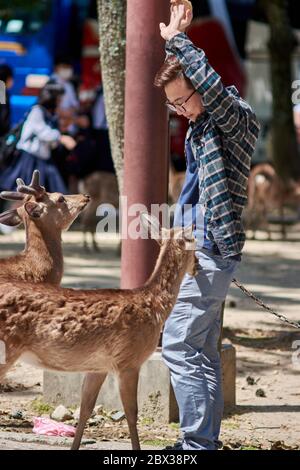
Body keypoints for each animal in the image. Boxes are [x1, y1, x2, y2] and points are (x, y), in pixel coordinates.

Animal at [0, 213, 198, 448]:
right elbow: (132, 413)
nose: (198, 267)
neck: (154, 307)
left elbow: (85, 408)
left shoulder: (98, 366)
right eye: (197, 244)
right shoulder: (128, 360)